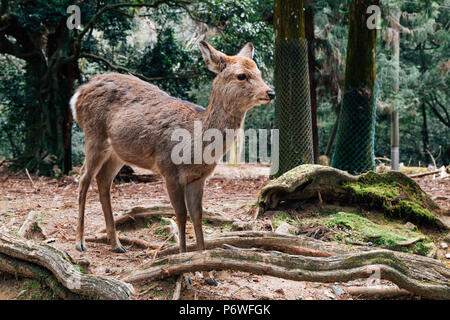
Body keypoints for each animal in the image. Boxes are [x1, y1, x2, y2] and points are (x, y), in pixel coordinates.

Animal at [71, 41, 274, 272]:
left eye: (259, 72)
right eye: (241, 75)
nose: (270, 92)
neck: (195, 145)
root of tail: (78, 94)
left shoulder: (199, 178)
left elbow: (197, 215)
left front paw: (206, 270)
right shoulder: (169, 170)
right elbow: (180, 214)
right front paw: (184, 268)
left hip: (117, 152)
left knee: (103, 180)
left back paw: (117, 244)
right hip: (94, 135)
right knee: (83, 178)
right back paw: (80, 242)